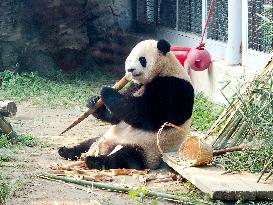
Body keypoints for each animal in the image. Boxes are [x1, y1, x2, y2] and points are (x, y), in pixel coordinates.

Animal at [58, 38, 193, 170]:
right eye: (129, 59)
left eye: (142, 59)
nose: (130, 70)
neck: (164, 69)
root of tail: (106, 147)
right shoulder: (135, 86)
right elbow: (118, 117)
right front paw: (94, 102)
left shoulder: (174, 87)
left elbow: (145, 114)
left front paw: (106, 91)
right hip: (106, 136)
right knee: (87, 143)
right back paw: (66, 151)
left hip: (147, 148)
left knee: (124, 156)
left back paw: (95, 161)